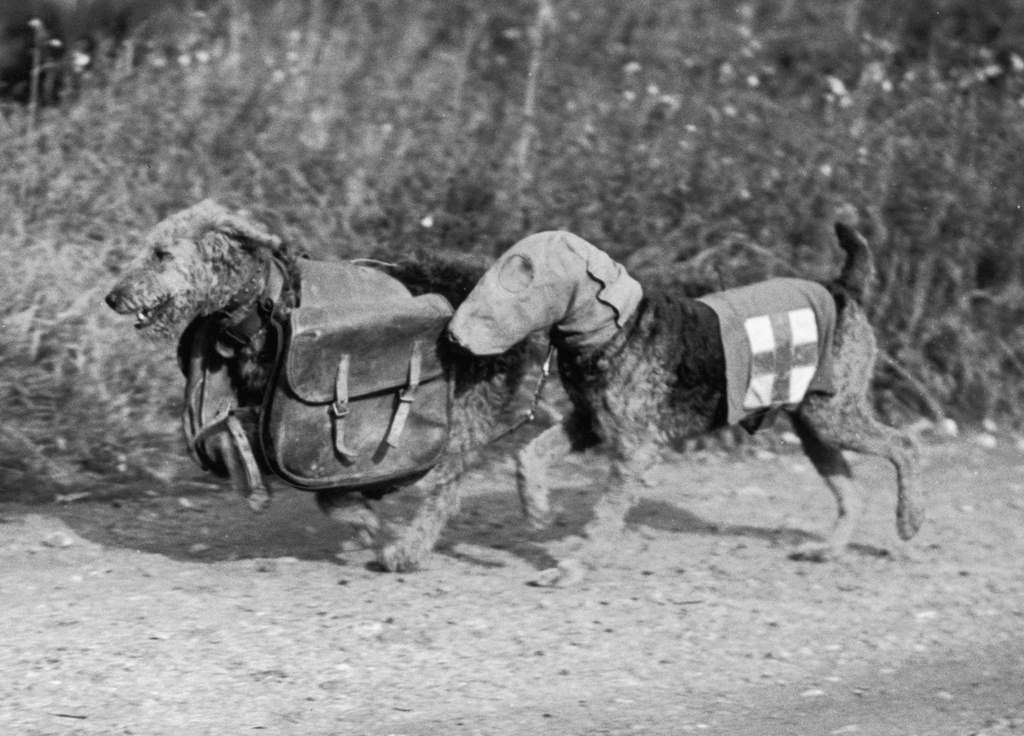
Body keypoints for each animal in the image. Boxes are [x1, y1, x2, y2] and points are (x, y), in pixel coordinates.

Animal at [452, 224, 925, 585]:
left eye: (524, 273)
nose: (454, 337)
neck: (612, 330)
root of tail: (842, 288)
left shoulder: (634, 447)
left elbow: (604, 516)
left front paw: (572, 566)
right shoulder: (589, 422)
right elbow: (529, 454)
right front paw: (538, 512)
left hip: (834, 416)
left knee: (904, 446)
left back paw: (909, 521)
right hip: (813, 426)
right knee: (852, 491)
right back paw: (826, 550)